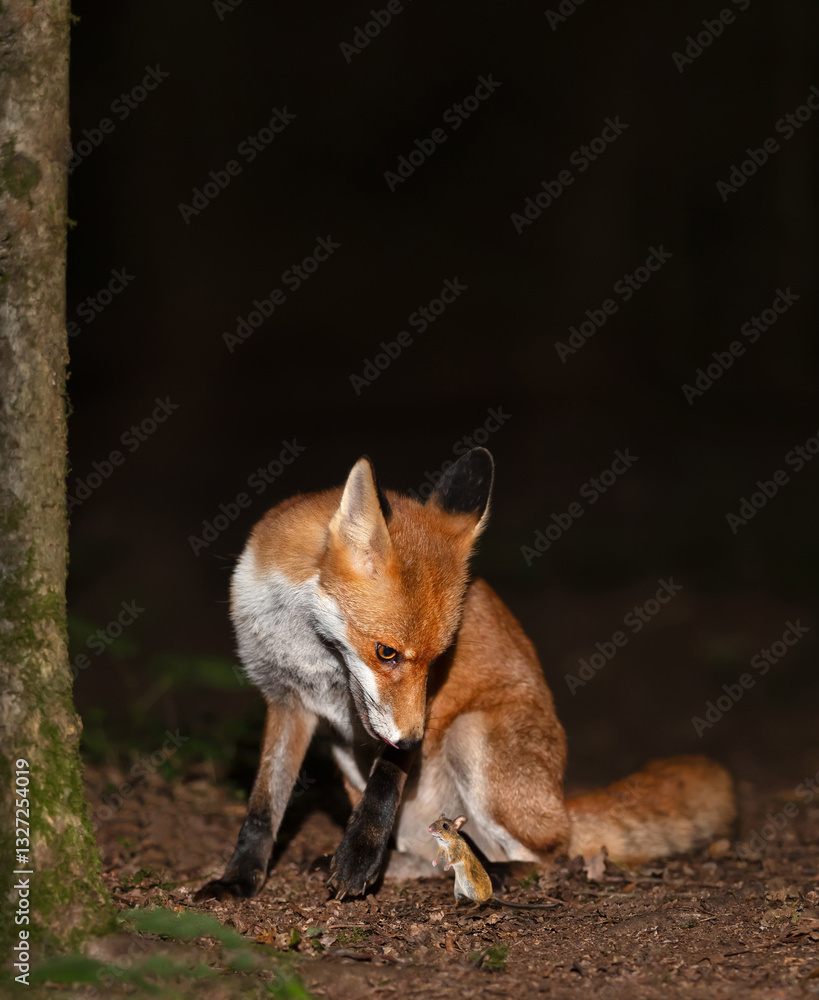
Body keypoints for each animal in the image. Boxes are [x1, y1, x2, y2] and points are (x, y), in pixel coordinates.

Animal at [196, 448, 735, 901]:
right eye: (386, 653)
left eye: (439, 661)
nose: (415, 742)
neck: (309, 644)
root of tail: (562, 804)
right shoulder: (286, 700)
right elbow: (263, 807)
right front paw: (238, 880)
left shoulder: (421, 713)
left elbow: (384, 783)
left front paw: (357, 858)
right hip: (359, 760)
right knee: (432, 850)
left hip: (469, 736)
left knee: (551, 855)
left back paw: (491, 870)